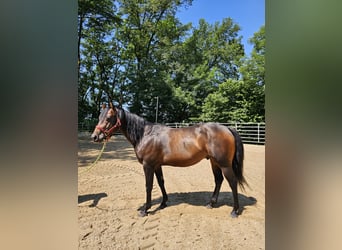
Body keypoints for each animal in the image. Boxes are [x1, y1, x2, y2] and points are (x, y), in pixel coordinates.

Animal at [90, 103, 246, 217]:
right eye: (99, 117)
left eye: (109, 118)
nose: (95, 137)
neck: (145, 134)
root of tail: (228, 128)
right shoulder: (157, 165)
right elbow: (161, 182)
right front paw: (163, 203)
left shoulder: (148, 165)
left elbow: (148, 185)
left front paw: (145, 209)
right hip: (214, 162)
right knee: (218, 180)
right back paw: (211, 204)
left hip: (225, 164)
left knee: (232, 182)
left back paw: (234, 211)